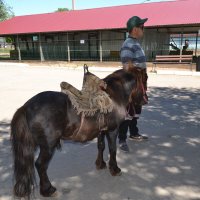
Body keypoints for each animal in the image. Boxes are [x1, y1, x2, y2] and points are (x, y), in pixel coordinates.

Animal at [10, 67, 145, 198]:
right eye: (145, 79)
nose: (145, 100)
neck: (114, 97)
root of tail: (26, 106)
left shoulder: (101, 131)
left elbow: (101, 146)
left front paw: (100, 164)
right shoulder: (112, 130)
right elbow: (112, 149)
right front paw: (115, 169)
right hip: (48, 146)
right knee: (40, 165)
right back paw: (48, 190)